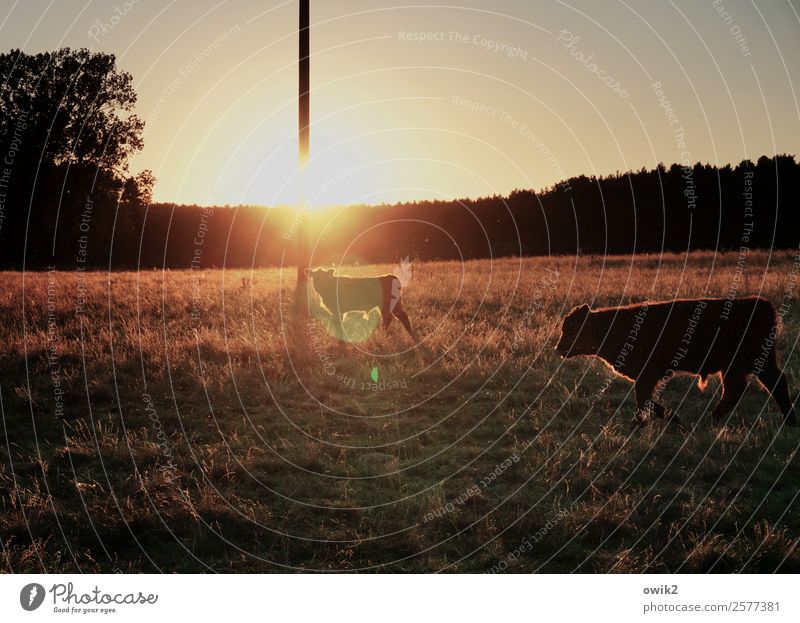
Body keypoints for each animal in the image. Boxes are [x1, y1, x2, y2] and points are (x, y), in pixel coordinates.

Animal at [560, 296, 796, 424]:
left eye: (570, 328)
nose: (558, 348)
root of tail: (760, 303)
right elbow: (644, 400)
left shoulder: (648, 375)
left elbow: (644, 399)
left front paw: (672, 419)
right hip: (735, 368)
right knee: (735, 390)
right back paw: (711, 420)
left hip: (759, 363)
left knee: (776, 384)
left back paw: (789, 420)